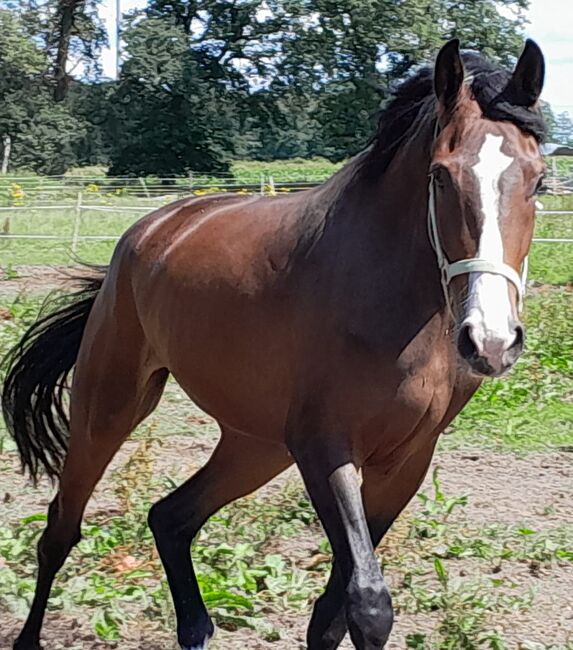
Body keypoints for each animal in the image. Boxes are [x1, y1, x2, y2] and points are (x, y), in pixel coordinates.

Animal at [1, 40, 544, 648]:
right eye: (441, 177)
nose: (491, 342)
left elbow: (332, 614)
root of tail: (155, 228)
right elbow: (368, 604)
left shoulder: (404, 462)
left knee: (171, 518)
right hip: (110, 406)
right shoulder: (324, 448)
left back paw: (195, 628)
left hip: (255, 444)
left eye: (539, 181)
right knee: (60, 528)